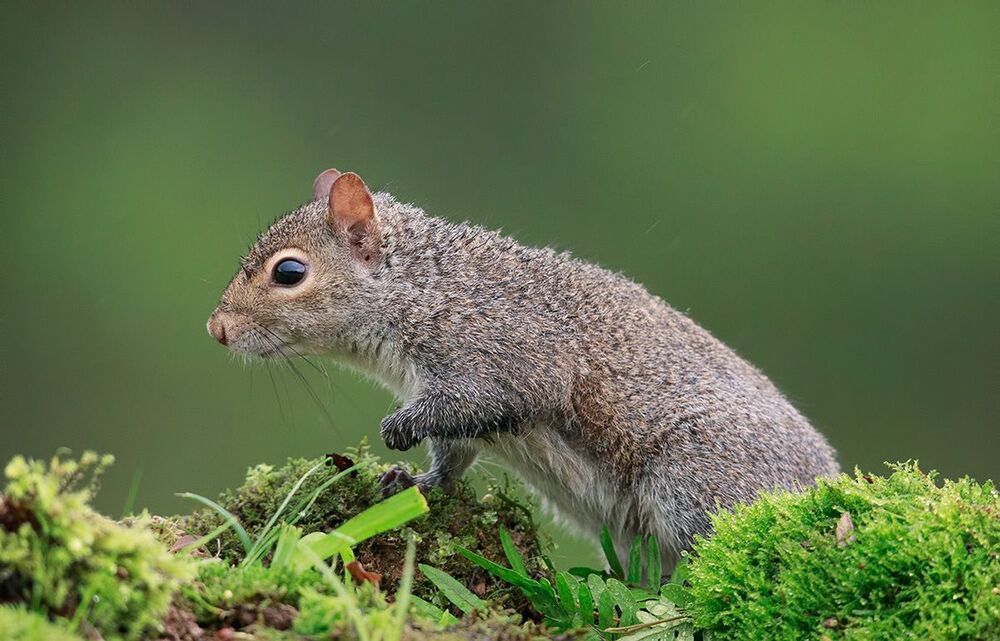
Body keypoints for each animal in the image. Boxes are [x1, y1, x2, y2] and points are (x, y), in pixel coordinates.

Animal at [207, 168, 840, 572]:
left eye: (289, 272)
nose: (217, 328)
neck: (422, 289)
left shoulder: (505, 351)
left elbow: (479, 403)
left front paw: (399, 430)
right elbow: (453, 452)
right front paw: (416, 481)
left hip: (699, 476)